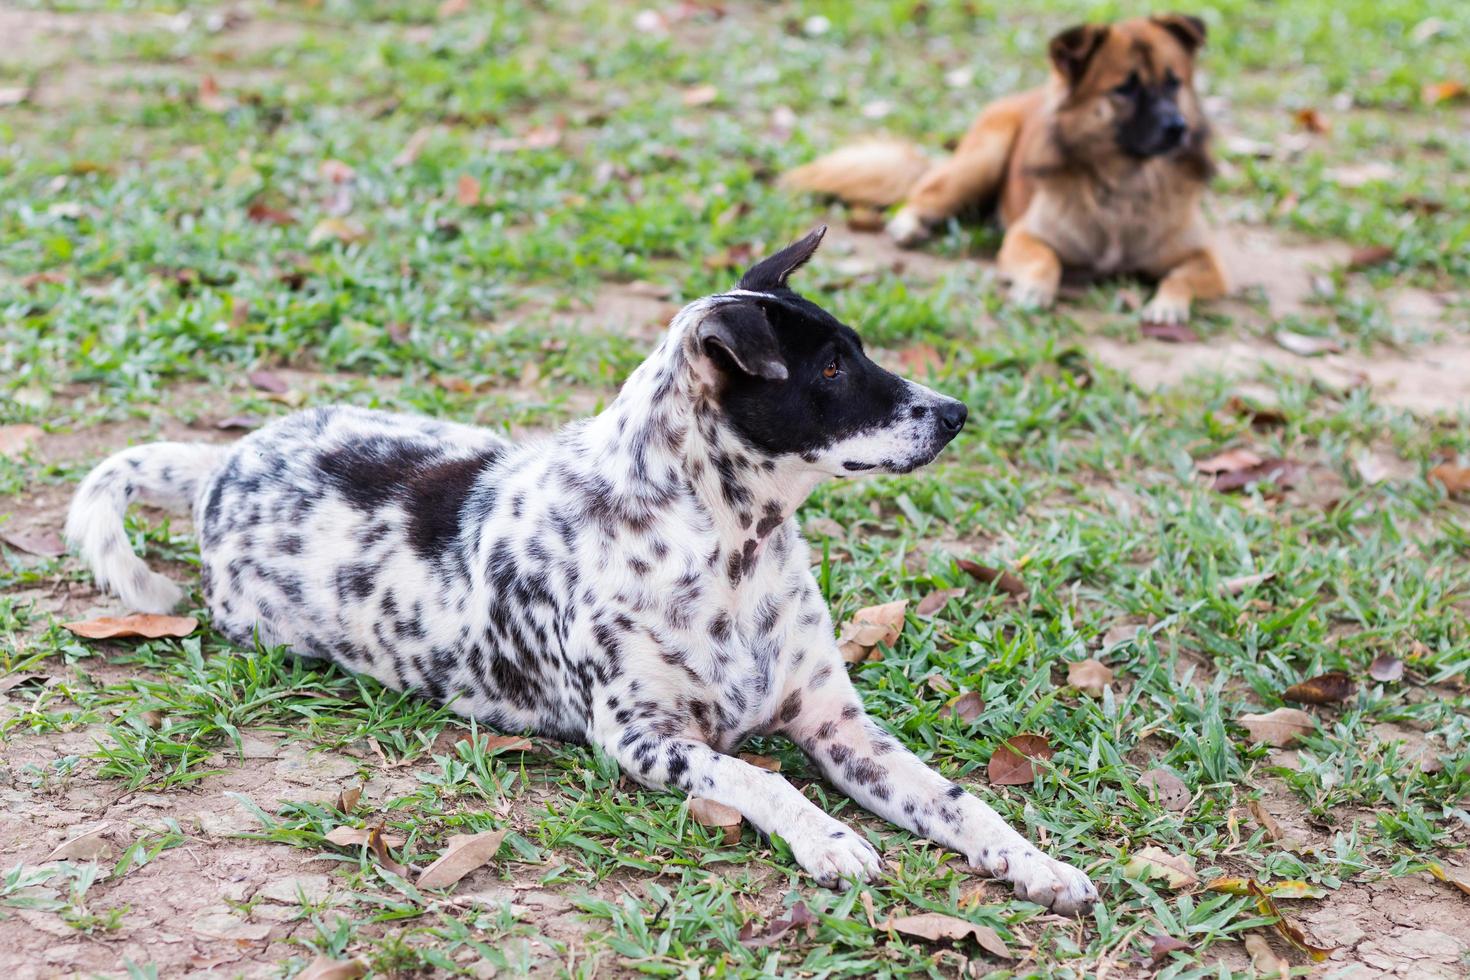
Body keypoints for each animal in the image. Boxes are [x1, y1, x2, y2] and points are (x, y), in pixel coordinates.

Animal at [71, 227, 1105, 910]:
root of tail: (221, 464)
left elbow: (959, 802)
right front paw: (829, 839)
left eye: (859, 353)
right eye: (831, 372)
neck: (732, 552)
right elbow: (761, 781)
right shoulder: (642, 739)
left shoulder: (842, 730)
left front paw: (1037, 863)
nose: (956, 413)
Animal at [787, 14, 1223, 326]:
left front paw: (1167, 305)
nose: (1177, 127)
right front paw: (1033, 289)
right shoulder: (1024, 236)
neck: (1127, 185)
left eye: (1174, 83)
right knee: (927, 193)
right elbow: (1045, 259)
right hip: (983, 158)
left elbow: (1182, 275)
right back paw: (909, 224)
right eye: (1126, 88)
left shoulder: (1213, 262)